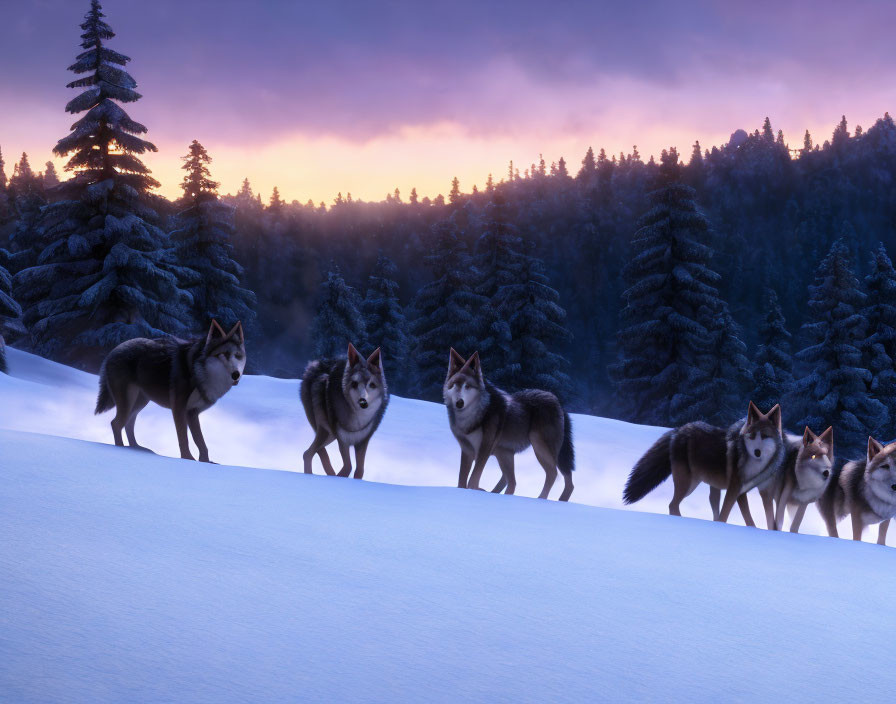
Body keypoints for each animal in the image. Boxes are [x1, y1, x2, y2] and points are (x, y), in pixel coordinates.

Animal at [94, 320, 245, 462]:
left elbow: (201, 442)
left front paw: (205, 462)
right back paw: (121, 449)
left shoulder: (192, 413)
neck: (199, 372)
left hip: (140, 403)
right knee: (116, 424)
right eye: (224, 354)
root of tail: (113, 351)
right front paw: (187, 458)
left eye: (238, 356)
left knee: (128, 424)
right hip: (129, 402)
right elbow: (184, 437)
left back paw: (135, 448)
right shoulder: (179, 408)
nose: (236, 375)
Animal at [300, 346, 388, 482]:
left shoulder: (362, 442)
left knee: (311, 452)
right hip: (326, 432)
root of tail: (317, 364)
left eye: (372, 385)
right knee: (308, 453)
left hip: (330, 435)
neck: (358, 421)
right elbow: (348, 467)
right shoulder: (343, 440)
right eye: (354, 384)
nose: (363, 401)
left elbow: (359, 471)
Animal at [440, 346, 576, 500]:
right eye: (454, 385)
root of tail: (558, 402)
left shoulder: (484, 448)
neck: (472, 417)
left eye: (467, 386)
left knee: (554, 473)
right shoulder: (467, 450)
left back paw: (542, 499)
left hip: (539, 446)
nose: (459, 402)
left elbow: (473, 480)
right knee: (512, 481)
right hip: (505, 453)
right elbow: (462, 481)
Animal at [624, 398, 784, 524]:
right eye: (752, 436)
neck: (753, 466)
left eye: (765, 436)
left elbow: (754, 521)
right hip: (688, 484)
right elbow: (726, 516)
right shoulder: (734, 490)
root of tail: (678, 430)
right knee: (672, 505)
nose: (757, 452)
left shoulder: (749, 492)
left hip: (701, 485)